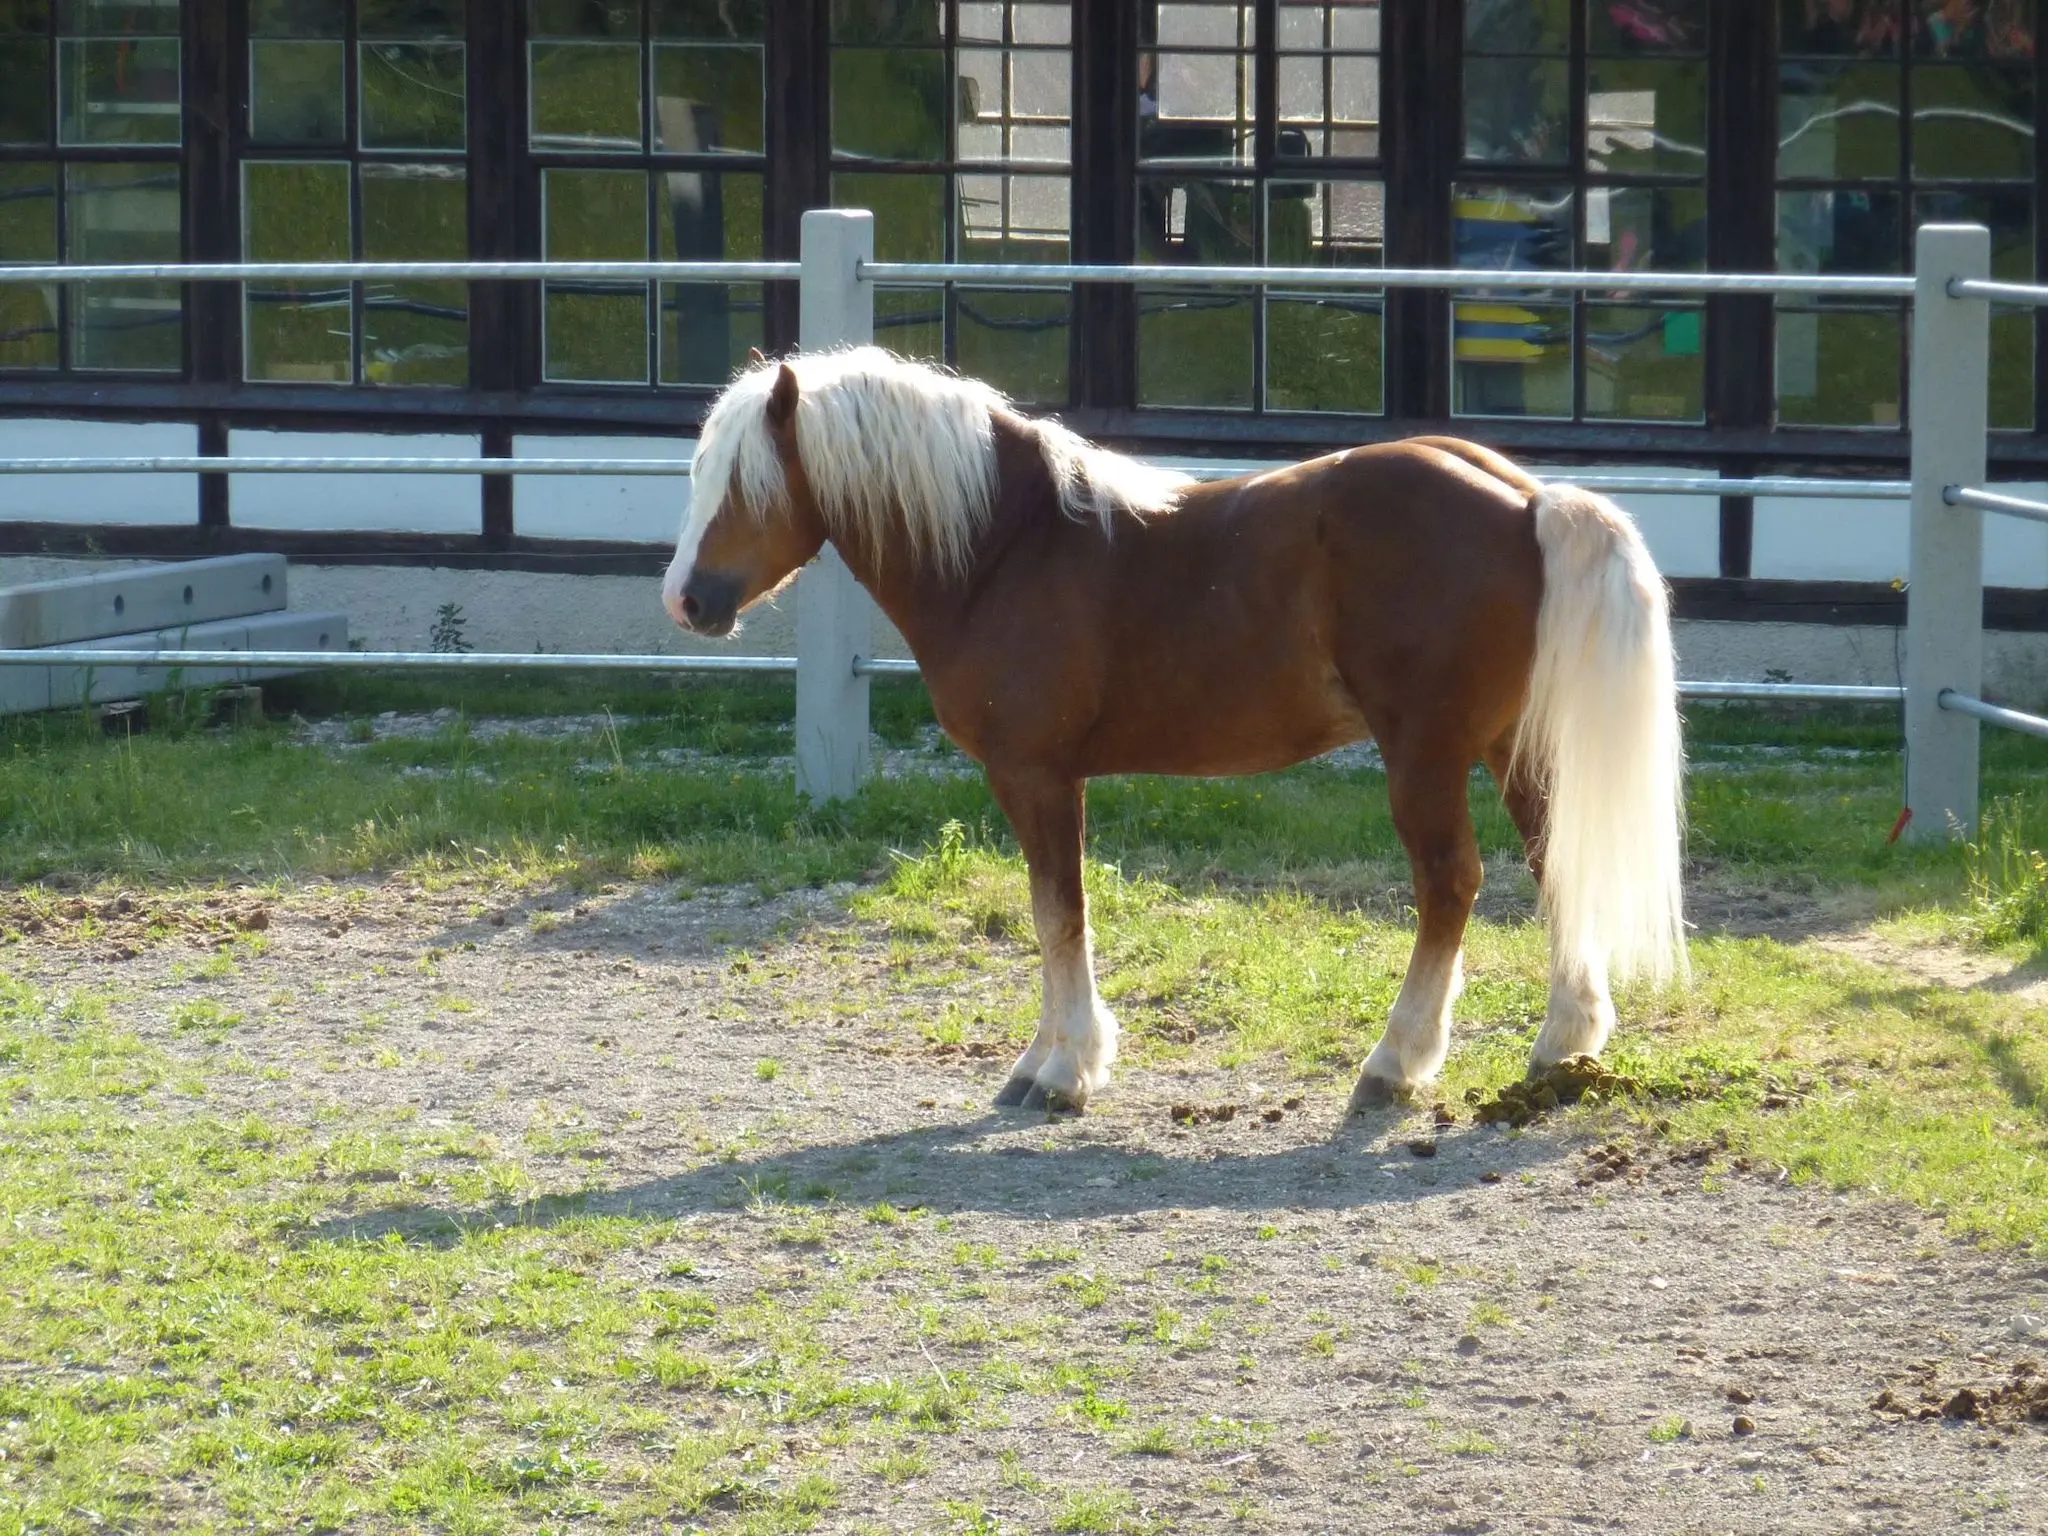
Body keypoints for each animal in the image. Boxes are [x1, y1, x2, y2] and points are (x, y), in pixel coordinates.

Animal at [663, 350, 1687, 1122]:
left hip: (1425, 752)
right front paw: (1042, 1061)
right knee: (1556, 862)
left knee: (1449, 885)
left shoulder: (1036, 775)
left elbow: (1059, 913)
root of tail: (1525, 501)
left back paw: (1394, 1064)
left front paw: (1064, 1071)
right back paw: (1561, 1045)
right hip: (1513, 746)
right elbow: (1052, 914)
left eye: (747, 483)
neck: (1009, 549)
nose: (687, 601)